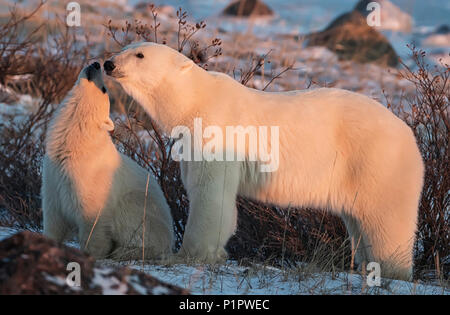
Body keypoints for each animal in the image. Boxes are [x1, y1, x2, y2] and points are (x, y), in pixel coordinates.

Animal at [41, 62, 174, 262]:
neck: (77, 144)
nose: (97, 64)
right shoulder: (53, 175)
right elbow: (54, 217)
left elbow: (93, 220)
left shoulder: (91, 178)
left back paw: (126, 251)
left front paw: (91, 253)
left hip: (144, 209)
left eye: (104, 89)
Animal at [103, 42, 424, 282]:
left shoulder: (217, 131)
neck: (195, 102)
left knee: (386, 218)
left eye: (140, 54)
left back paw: (391, 269)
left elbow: (211, 194)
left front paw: (188, 253)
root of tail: (409, 135)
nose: (108, 63)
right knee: (359, 221)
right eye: (125, 47)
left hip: (377, 160)